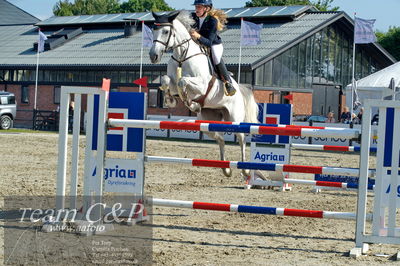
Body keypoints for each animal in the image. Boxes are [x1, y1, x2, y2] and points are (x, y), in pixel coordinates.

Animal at [148, 10, 258, 177]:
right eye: (154, 29)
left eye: (166, 31)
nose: (153, 56)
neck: (182, 56)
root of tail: (239, 89)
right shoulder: (172, 82)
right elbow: (167, 81)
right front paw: (172, 101)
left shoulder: (202, 85)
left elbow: (183, 82)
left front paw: (190, 102)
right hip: (207, 122)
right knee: (220, 138)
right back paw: (226, 169)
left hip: (234, 119)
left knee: (241, 140)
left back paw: (245, 170)